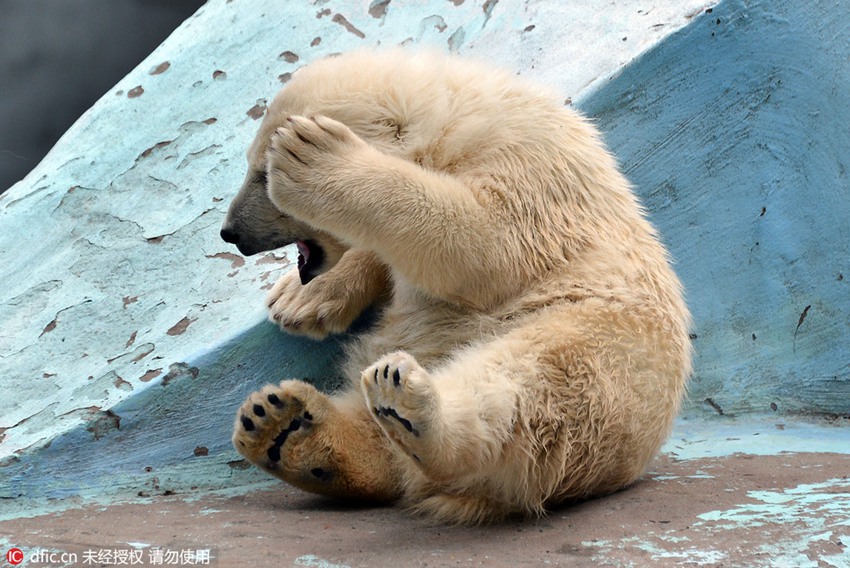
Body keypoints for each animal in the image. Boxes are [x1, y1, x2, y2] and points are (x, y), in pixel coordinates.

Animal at [220, 49, 692, 524]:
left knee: (527, 385)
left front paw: (315, 157)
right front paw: (298, 299)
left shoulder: (528, 165)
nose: (231, 233)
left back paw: (413, 410)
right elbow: (389, 256)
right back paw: (283, 427)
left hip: (598, 347)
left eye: (262, 173)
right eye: (249, 163)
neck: (454, 122)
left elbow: (486, 243)